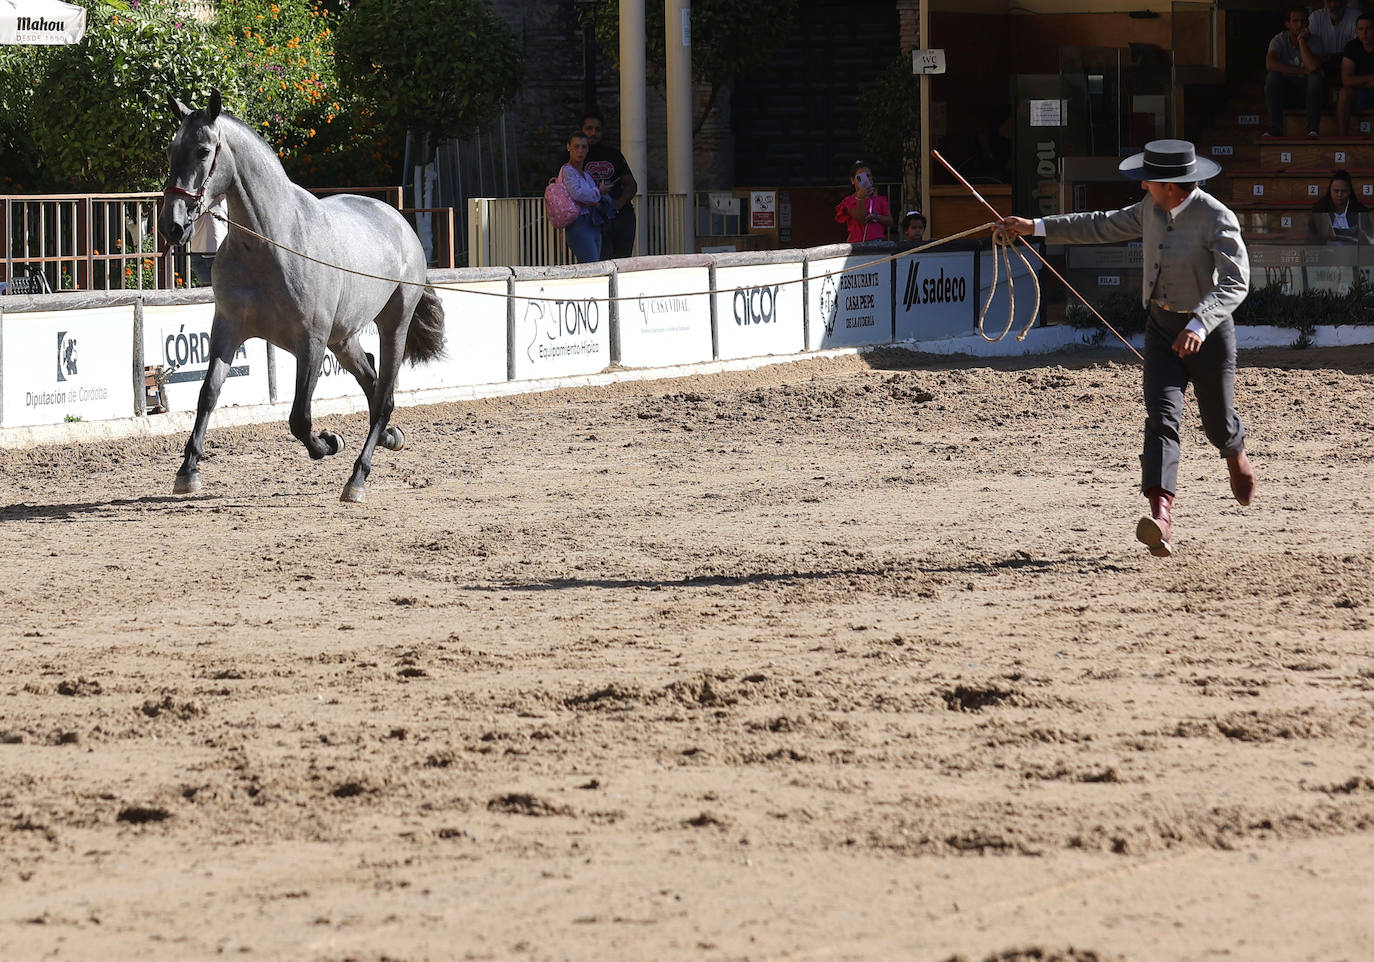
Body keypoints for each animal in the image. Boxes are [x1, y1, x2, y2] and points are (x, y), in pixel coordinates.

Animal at [158, 89, 445, 502]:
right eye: (170, 149)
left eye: (202, 151)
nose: (173, 225)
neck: (271, 243)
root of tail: (399, 221)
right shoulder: (227, 329)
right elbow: (208, 394)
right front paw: (188, 470)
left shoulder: (311, 342)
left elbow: (299, 417)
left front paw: (328, 442)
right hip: (343, 339)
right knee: (372, 380)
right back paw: (390, 438)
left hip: (393, 326)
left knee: (383, 398)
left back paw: (357, 478)